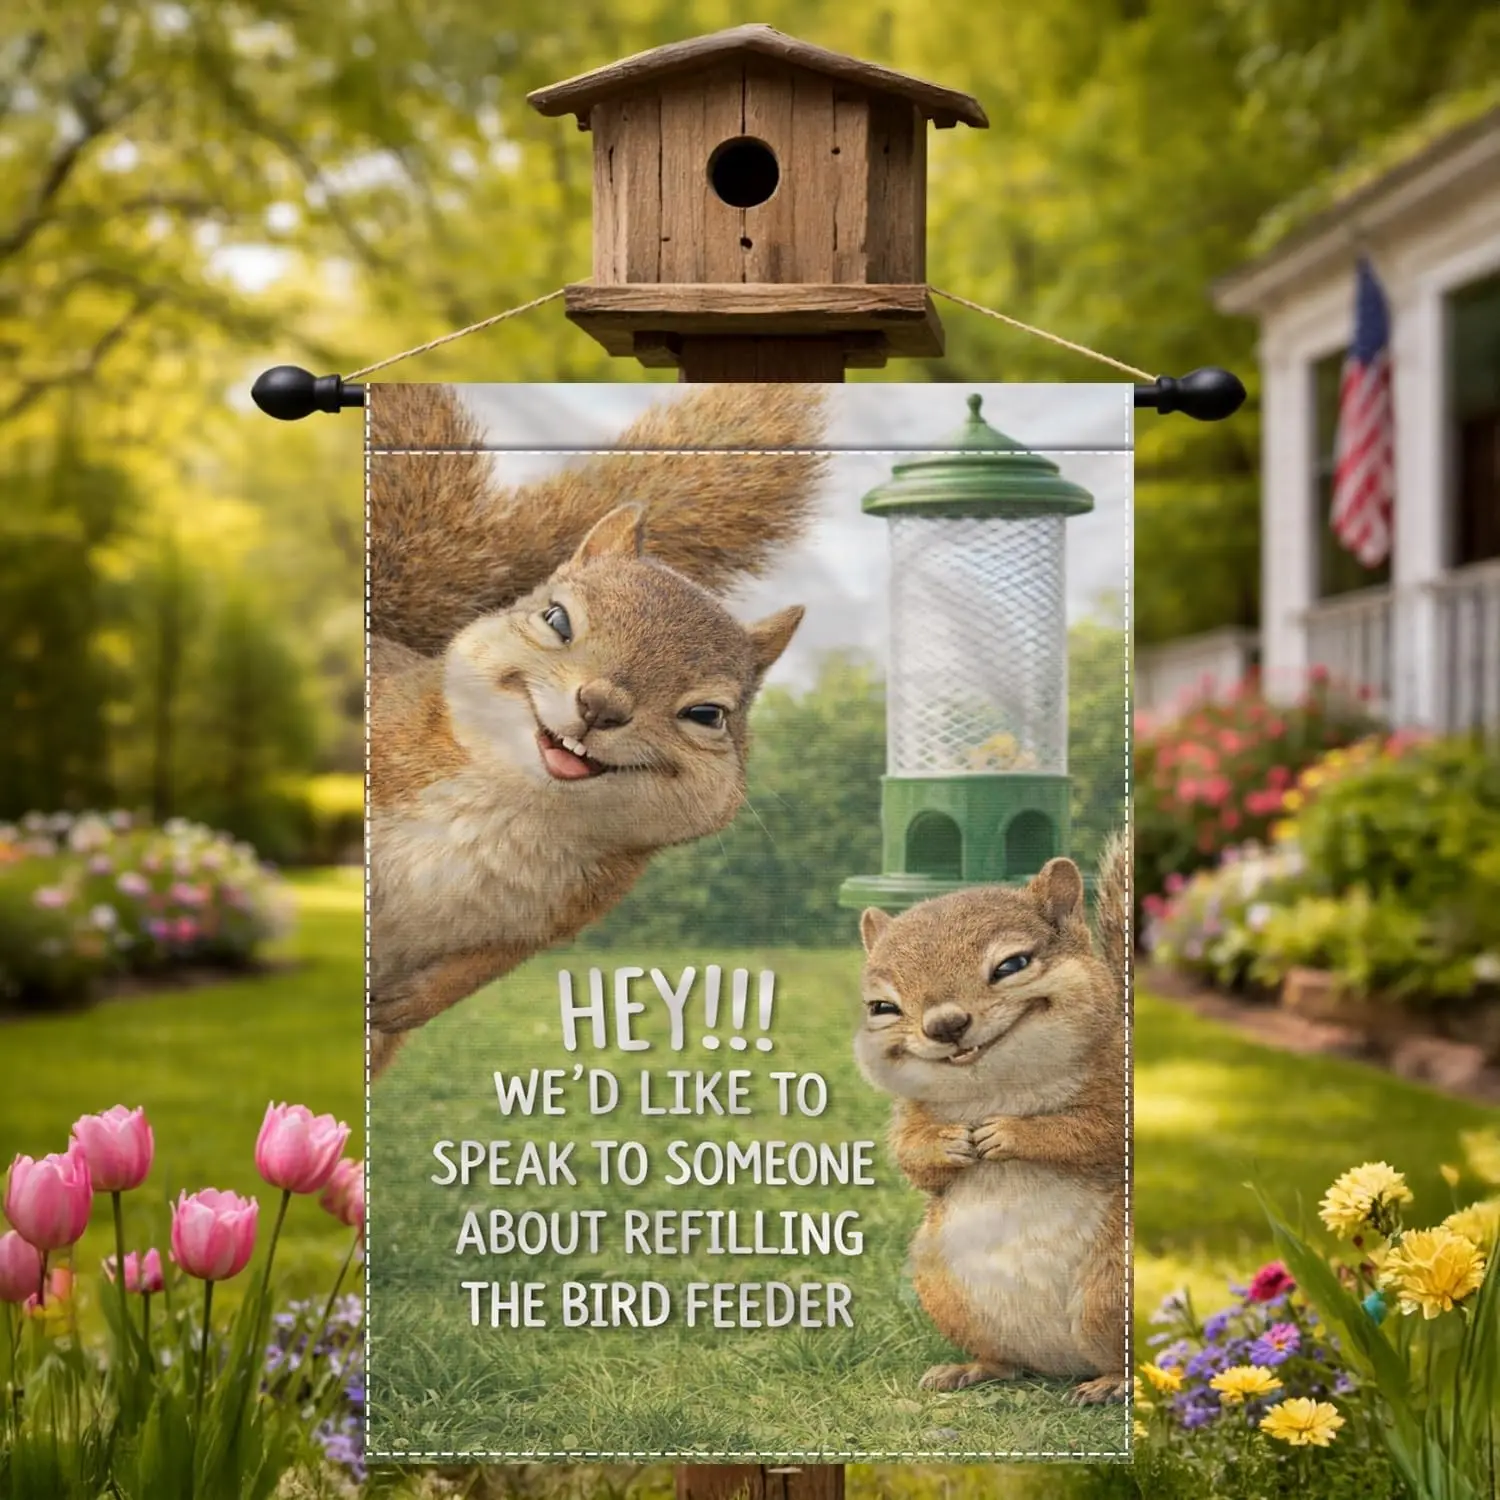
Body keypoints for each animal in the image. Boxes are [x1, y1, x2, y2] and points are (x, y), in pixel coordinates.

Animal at [368, 382, 831, 1078]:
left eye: (708, 714)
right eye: (556, 619)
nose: (600, 704)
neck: (514, 803)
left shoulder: (558, 917)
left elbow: (479, 968)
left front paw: (410, 1002)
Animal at [854, 831, 1129, 1405]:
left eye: (1012, 965)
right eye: (882, 1007)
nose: (945, 1025)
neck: (991, 1085)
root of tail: (1061, 1362)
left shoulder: (1118, 1083)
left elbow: (1097, 1132)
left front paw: (1010, 1133)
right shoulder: (909, 1114)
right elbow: (912, 1158)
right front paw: (951, 1145)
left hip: (1110, 1287)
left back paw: (1110, 1382)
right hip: (943, 1289)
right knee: (1010, 1363)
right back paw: (972, 1368)